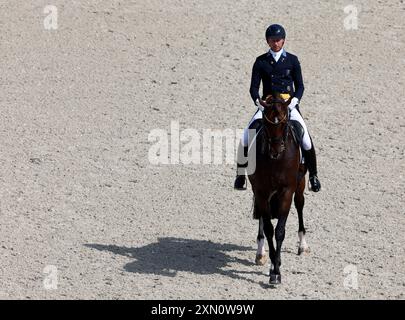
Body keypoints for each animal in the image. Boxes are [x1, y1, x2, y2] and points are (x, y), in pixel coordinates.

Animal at [246, 93, 310, 284]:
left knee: (300, 205)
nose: (276, 150)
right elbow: (268, 229)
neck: (275, 161)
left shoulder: (287, 191)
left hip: (300, 184)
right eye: (267, 125)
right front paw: (274, 266)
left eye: (283, 123)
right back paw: (260, 253)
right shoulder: (260, 191)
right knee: (262, 218)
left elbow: (280, 231)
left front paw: (276, 269)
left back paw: (303, 245)